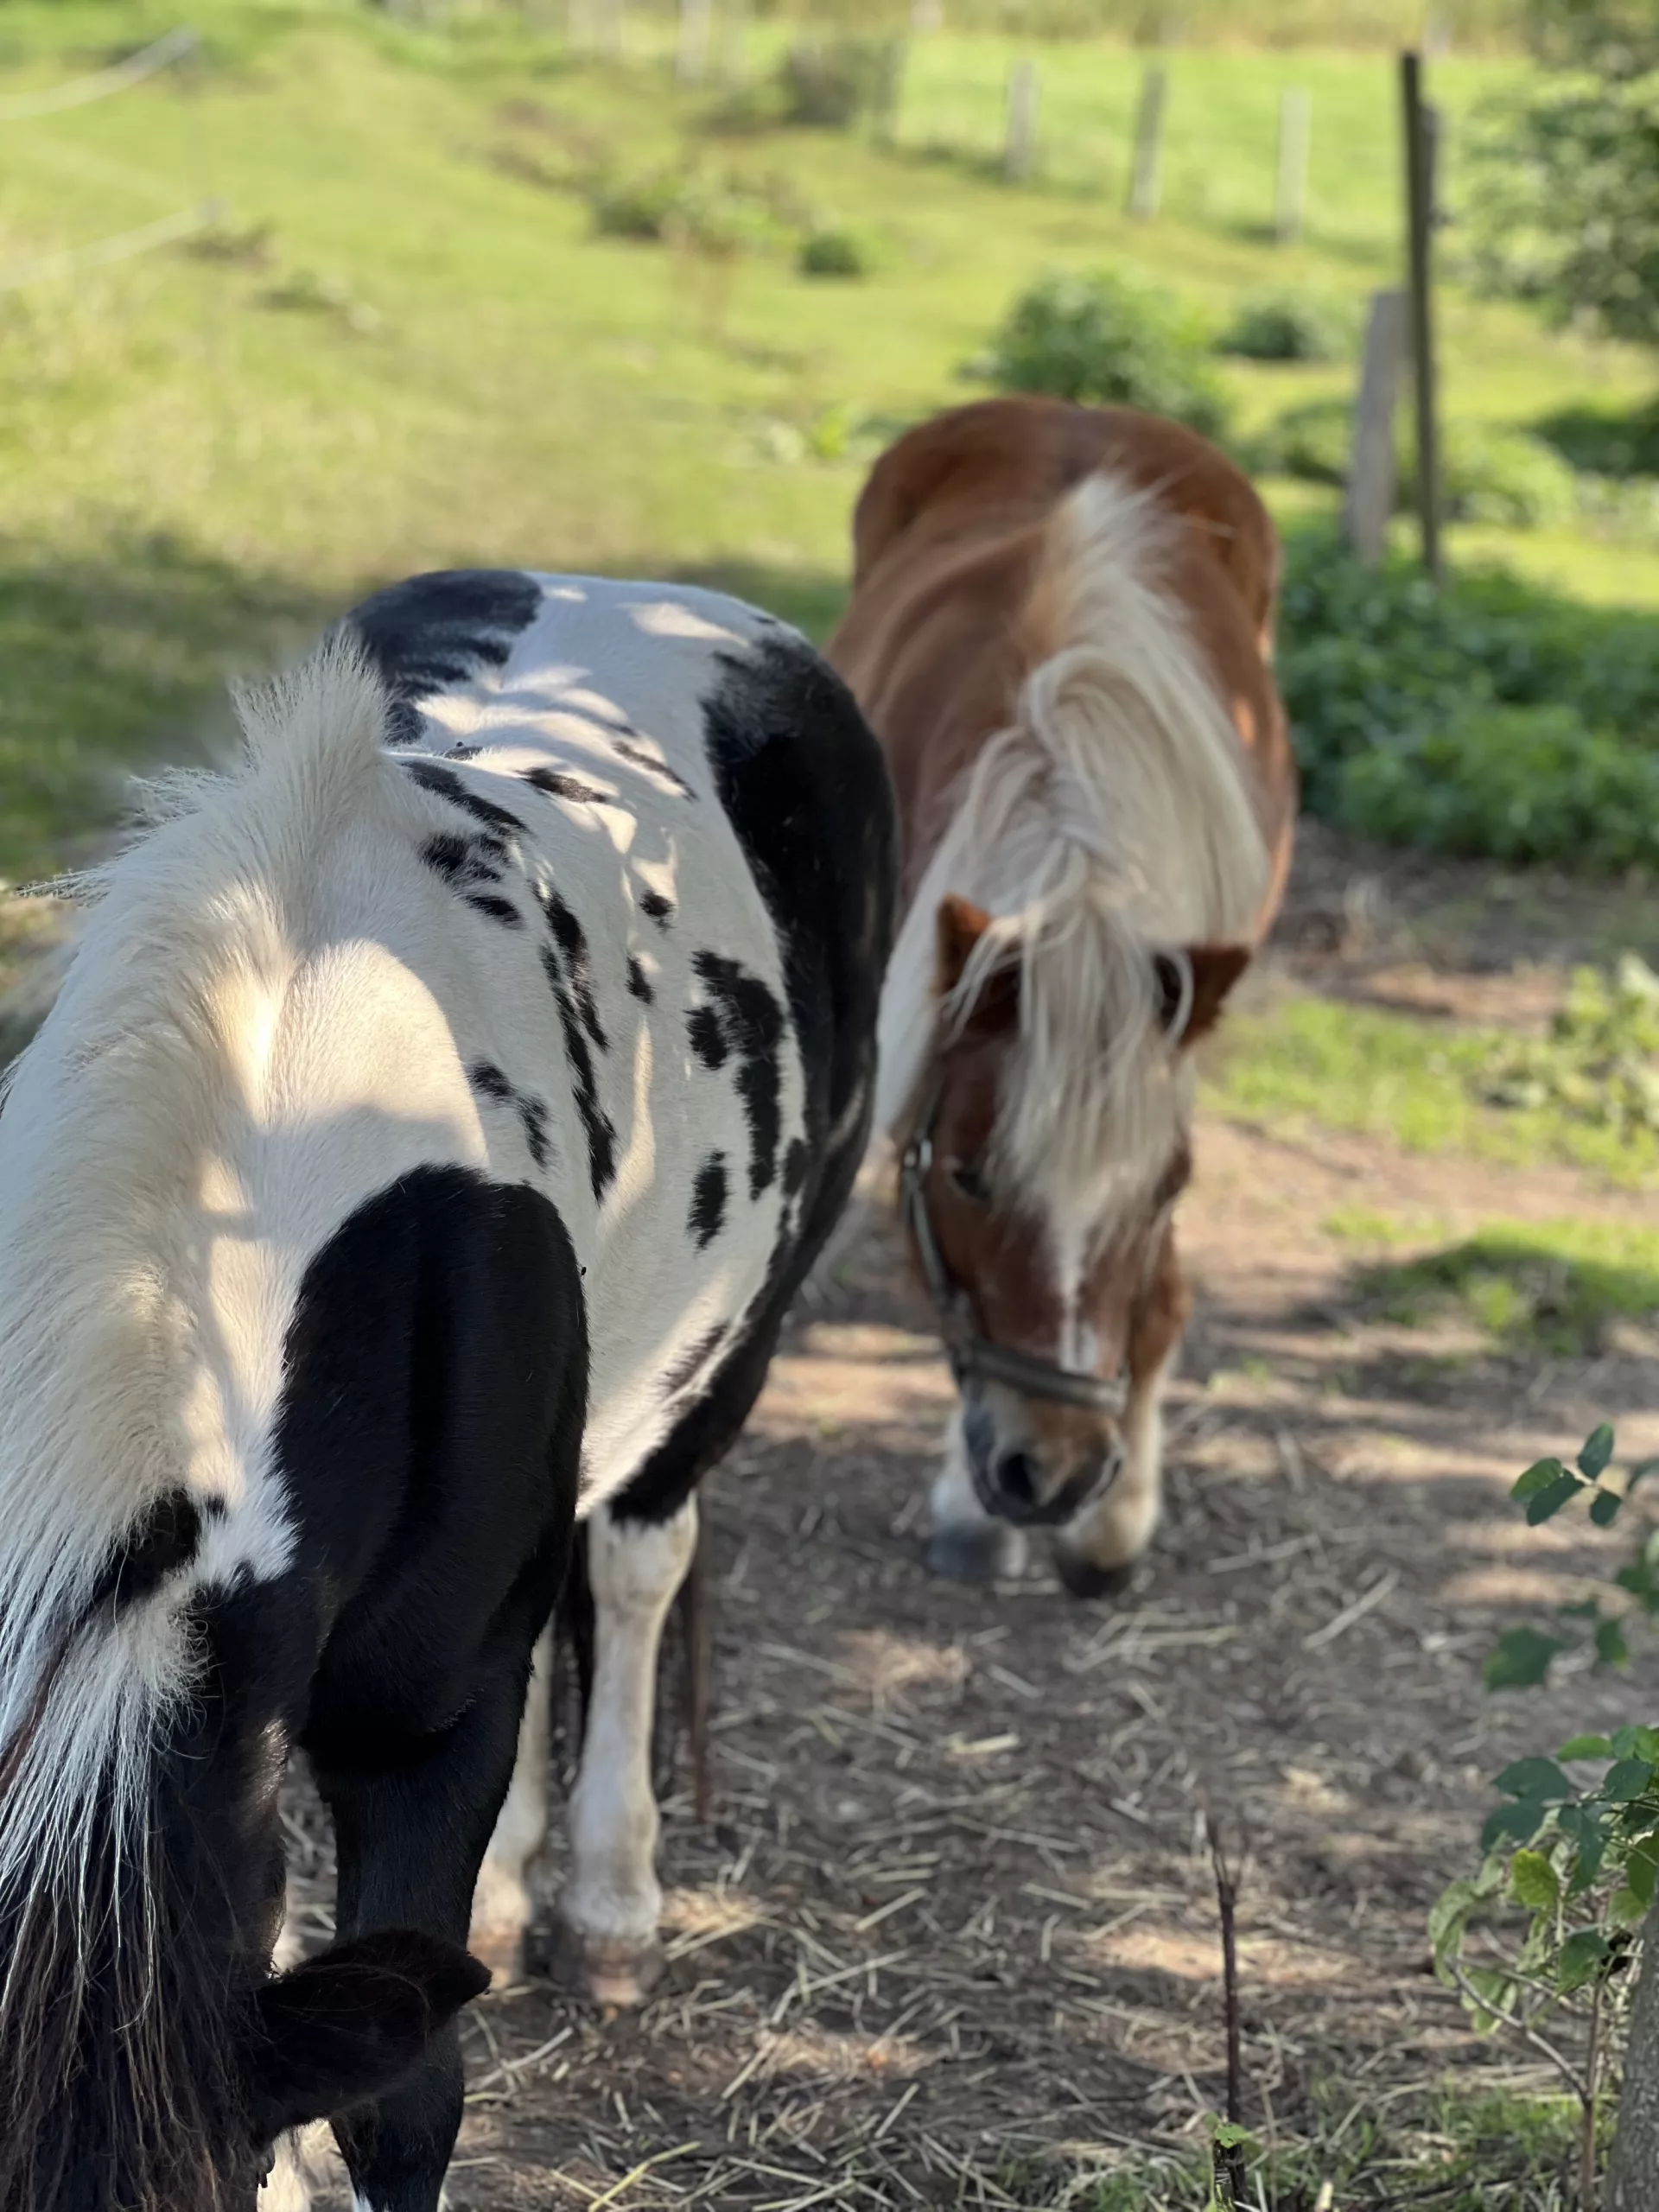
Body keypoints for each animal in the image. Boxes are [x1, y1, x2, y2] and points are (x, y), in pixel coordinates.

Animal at [827, 397, 1295, 1596]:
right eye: (970, 1175)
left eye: (1169, 1187)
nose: (1059, 1468)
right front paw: (971, 1505)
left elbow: (1161, 1299)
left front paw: (1116, 1520)